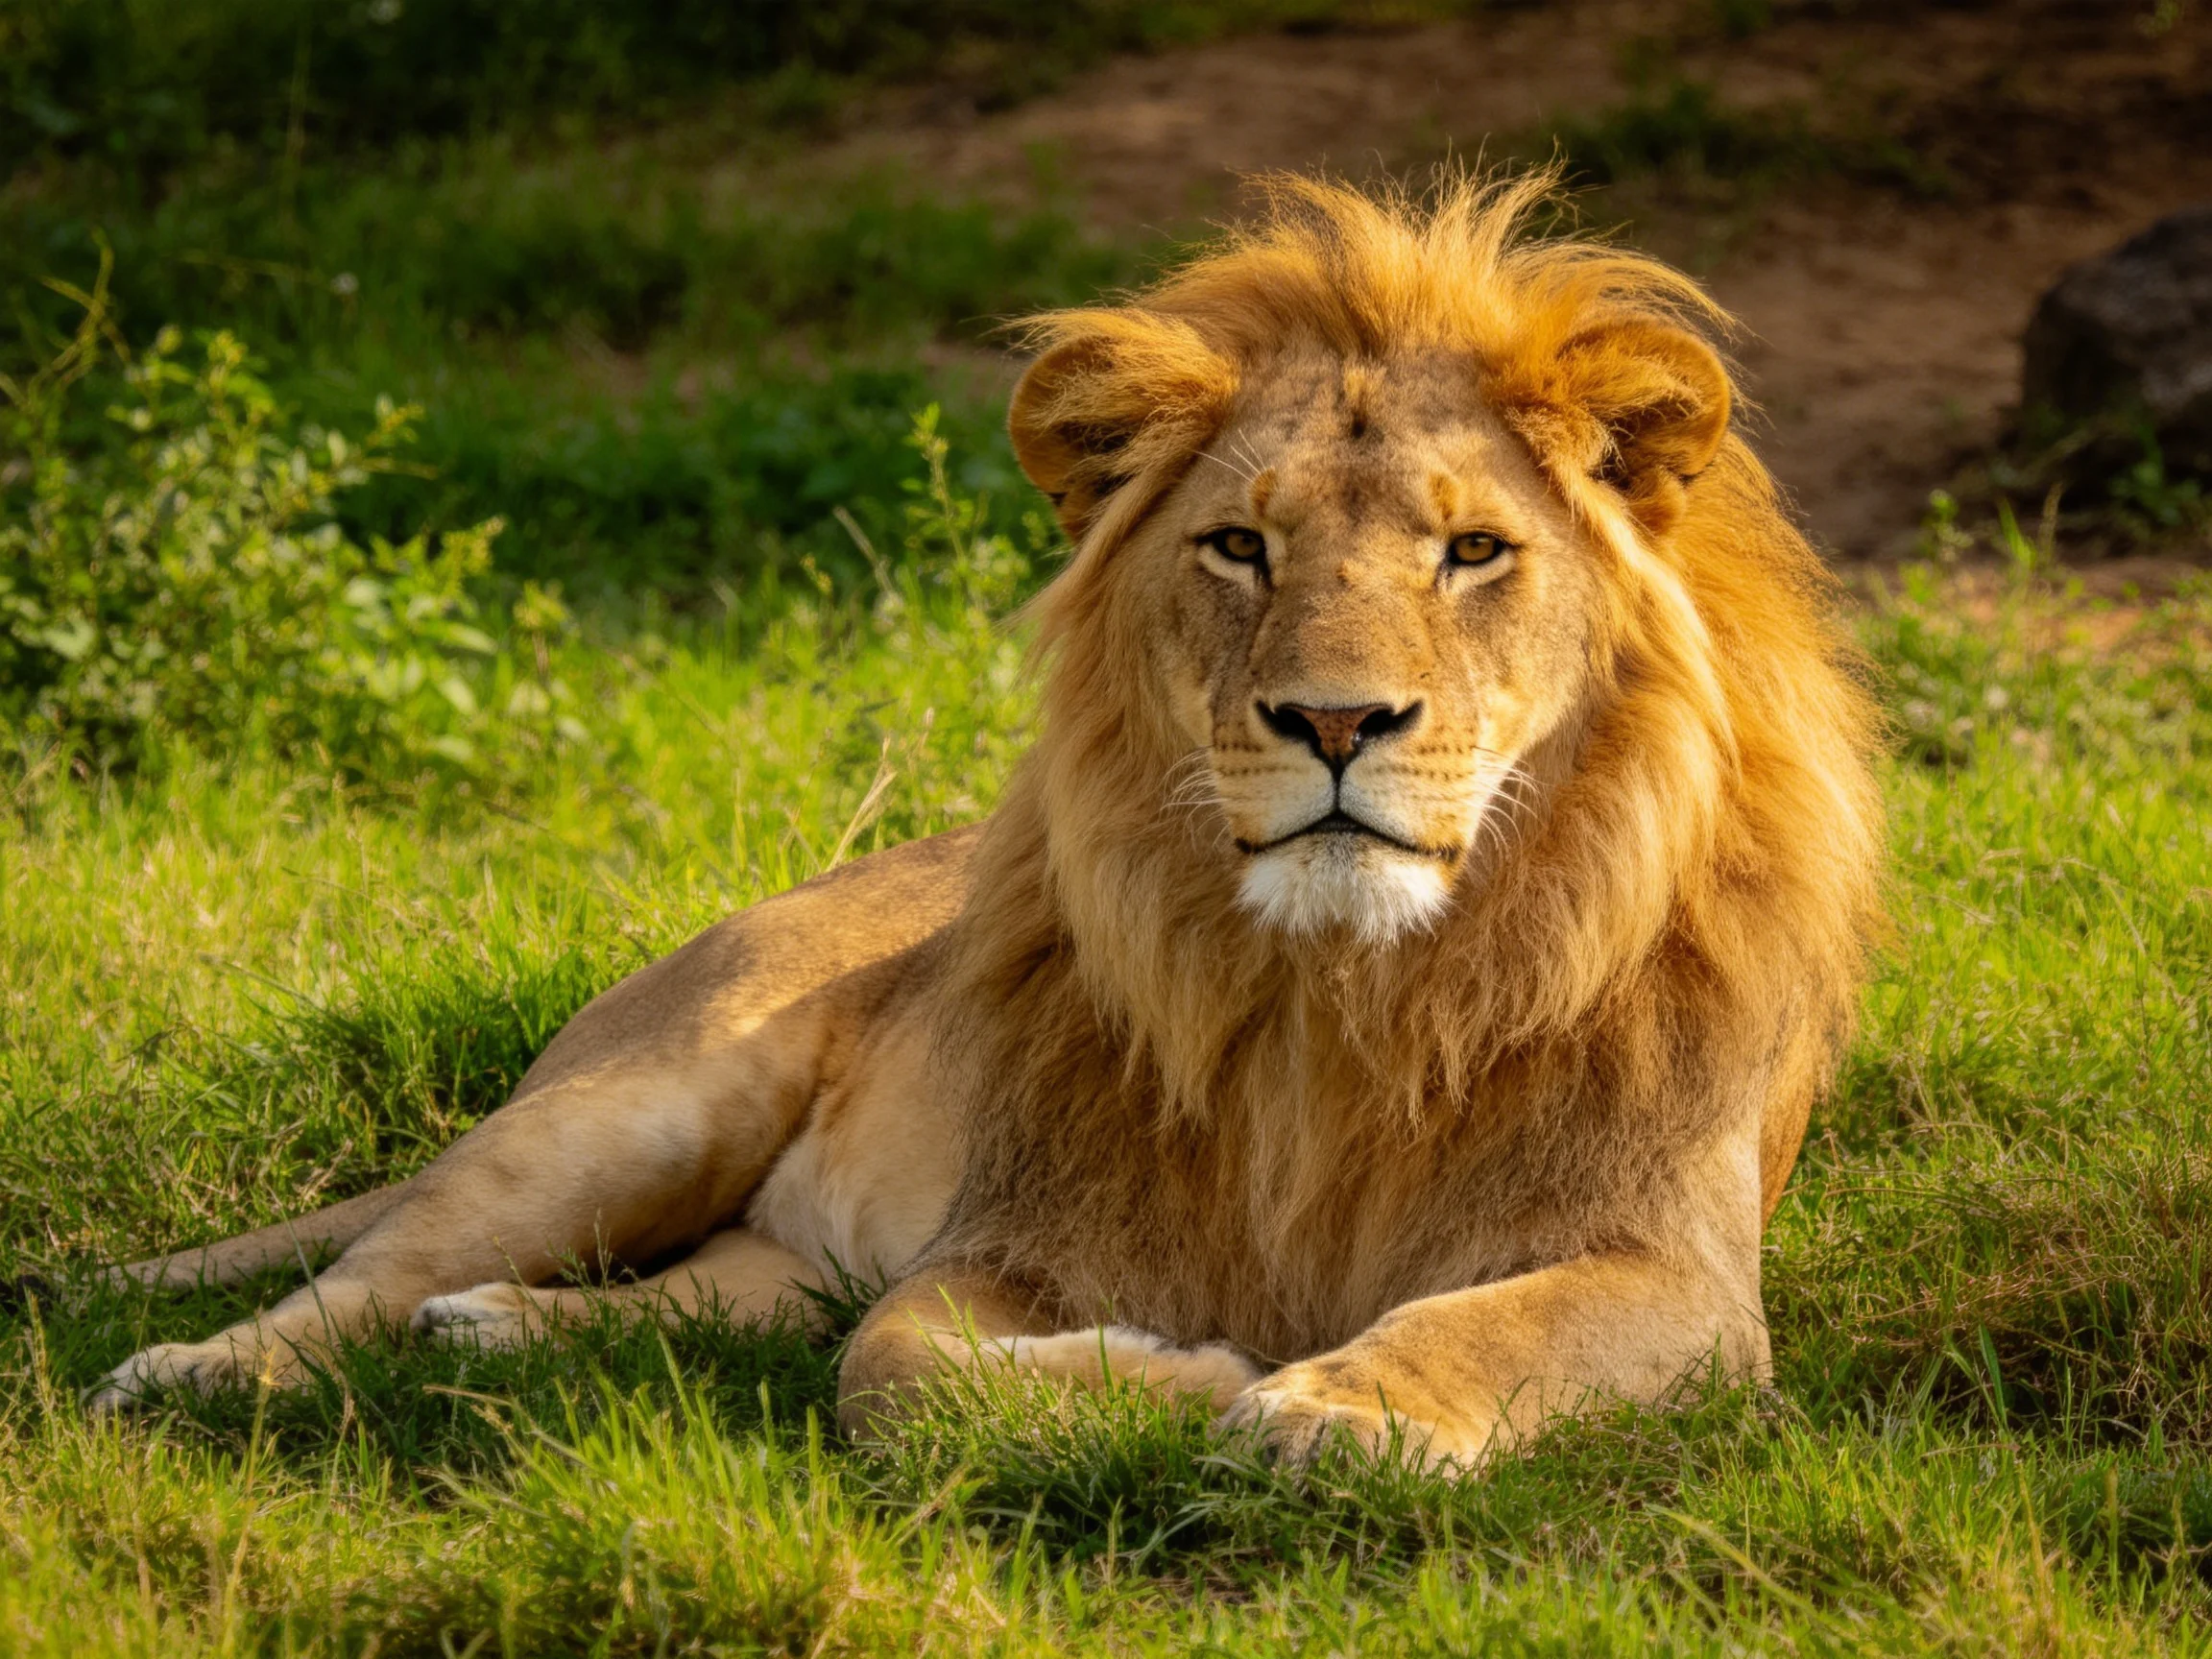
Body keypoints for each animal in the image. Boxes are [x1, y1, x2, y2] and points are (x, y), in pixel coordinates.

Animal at [87, 173, 1885, 1472]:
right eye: (1239, 545)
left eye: (1473, 552)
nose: (1331, 722)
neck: (1347, 993)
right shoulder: (1016, 1231)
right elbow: (896, 1372)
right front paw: (1211, 1375)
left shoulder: (1676, 1278)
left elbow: (1497, 1327)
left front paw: (1339, 1405)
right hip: (638, 1106)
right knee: (368, 1270)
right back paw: (194, 1371)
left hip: (749, 1232)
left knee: (719, 1300)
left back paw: (499, 1333)